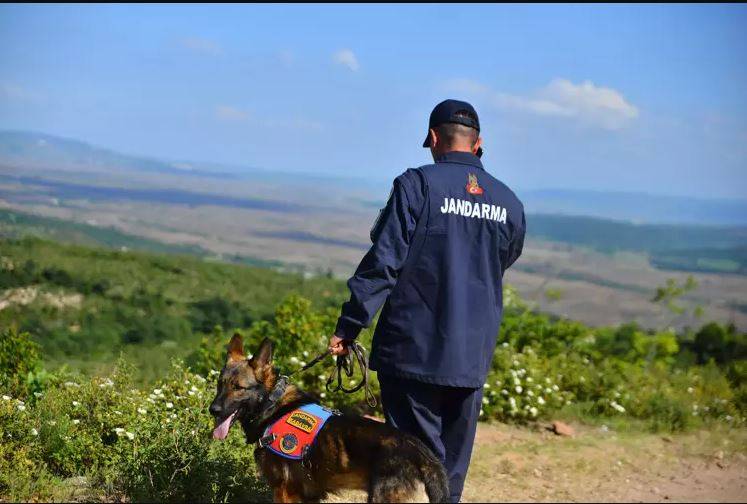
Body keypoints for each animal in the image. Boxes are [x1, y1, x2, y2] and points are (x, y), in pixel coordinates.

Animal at [207, 334, 448, 504]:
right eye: (220, 384)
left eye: (238, 388)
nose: (213, 410)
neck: (272, 404)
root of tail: (426, 457)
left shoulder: (284, 492)